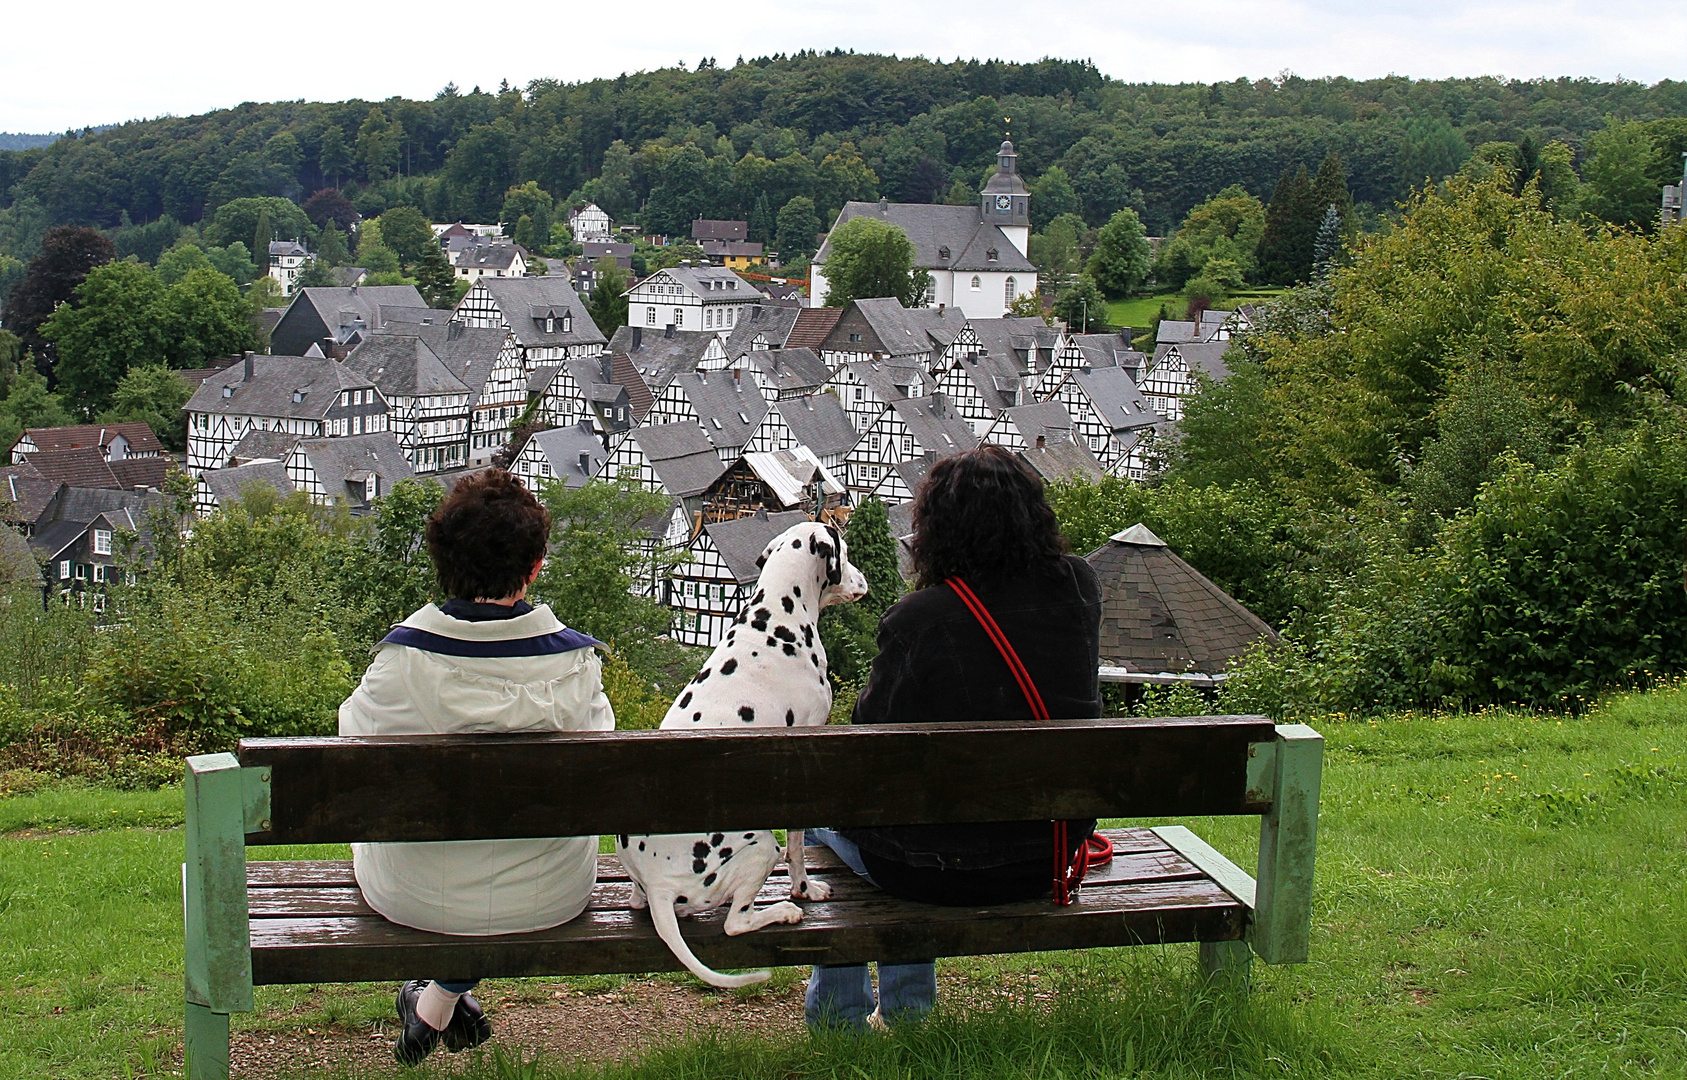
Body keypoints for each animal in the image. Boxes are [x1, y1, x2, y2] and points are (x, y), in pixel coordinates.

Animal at [614, 523, 870, 985]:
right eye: (846, 550)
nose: (864, 580)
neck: (777, 620)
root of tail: (659, 886)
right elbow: (799, 847)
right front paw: (805, 889)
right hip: (762, 846)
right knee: (736, 921)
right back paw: (782, 910)